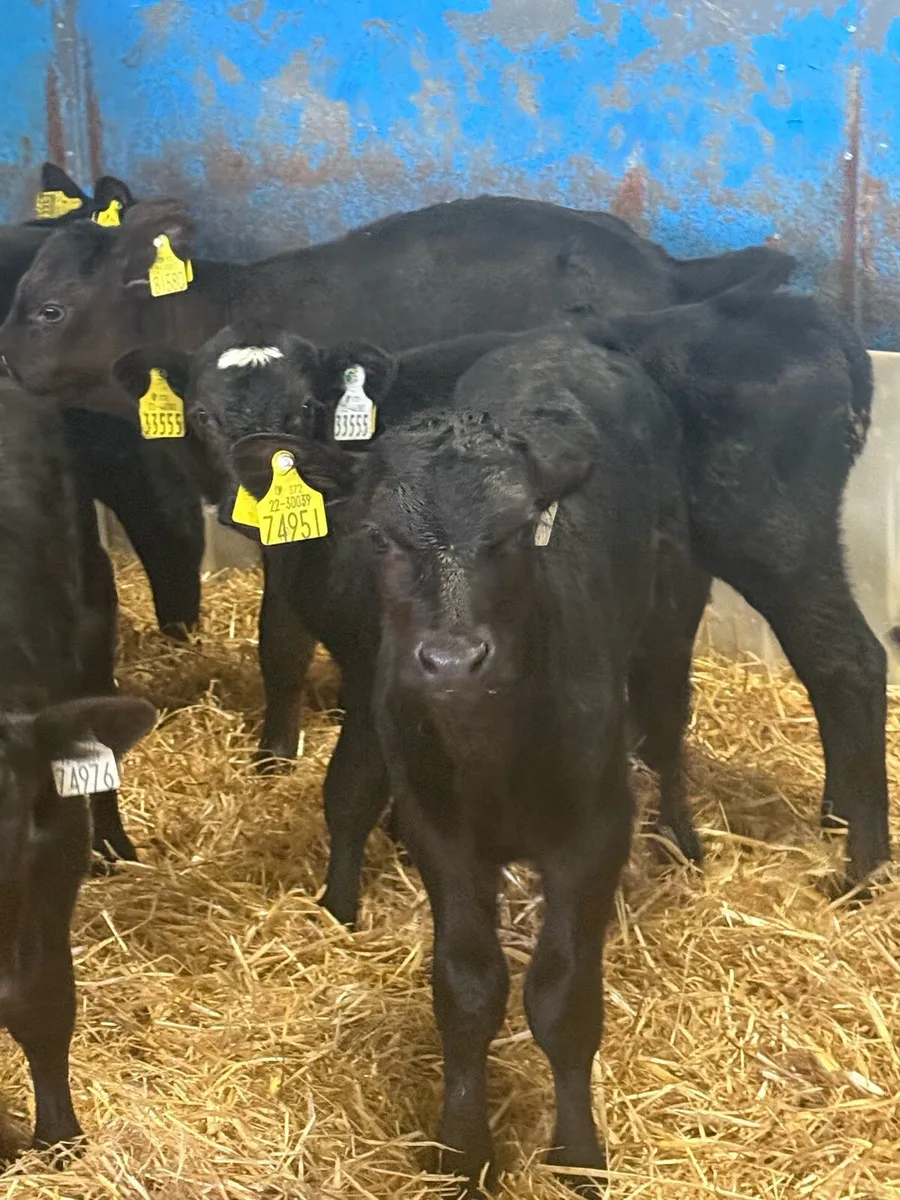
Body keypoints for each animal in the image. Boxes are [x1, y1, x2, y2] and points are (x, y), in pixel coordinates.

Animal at [229, 325, 698, 1195]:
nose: (450, 659)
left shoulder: (594, 832)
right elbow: (468, 988)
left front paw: (578, 1153)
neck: (493, 749)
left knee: (666, 711)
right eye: (379, 535)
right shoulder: (438, 831)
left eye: (514, 534)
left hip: (671, 605)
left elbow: (563, 996)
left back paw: (683, 834)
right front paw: (462, 1149)